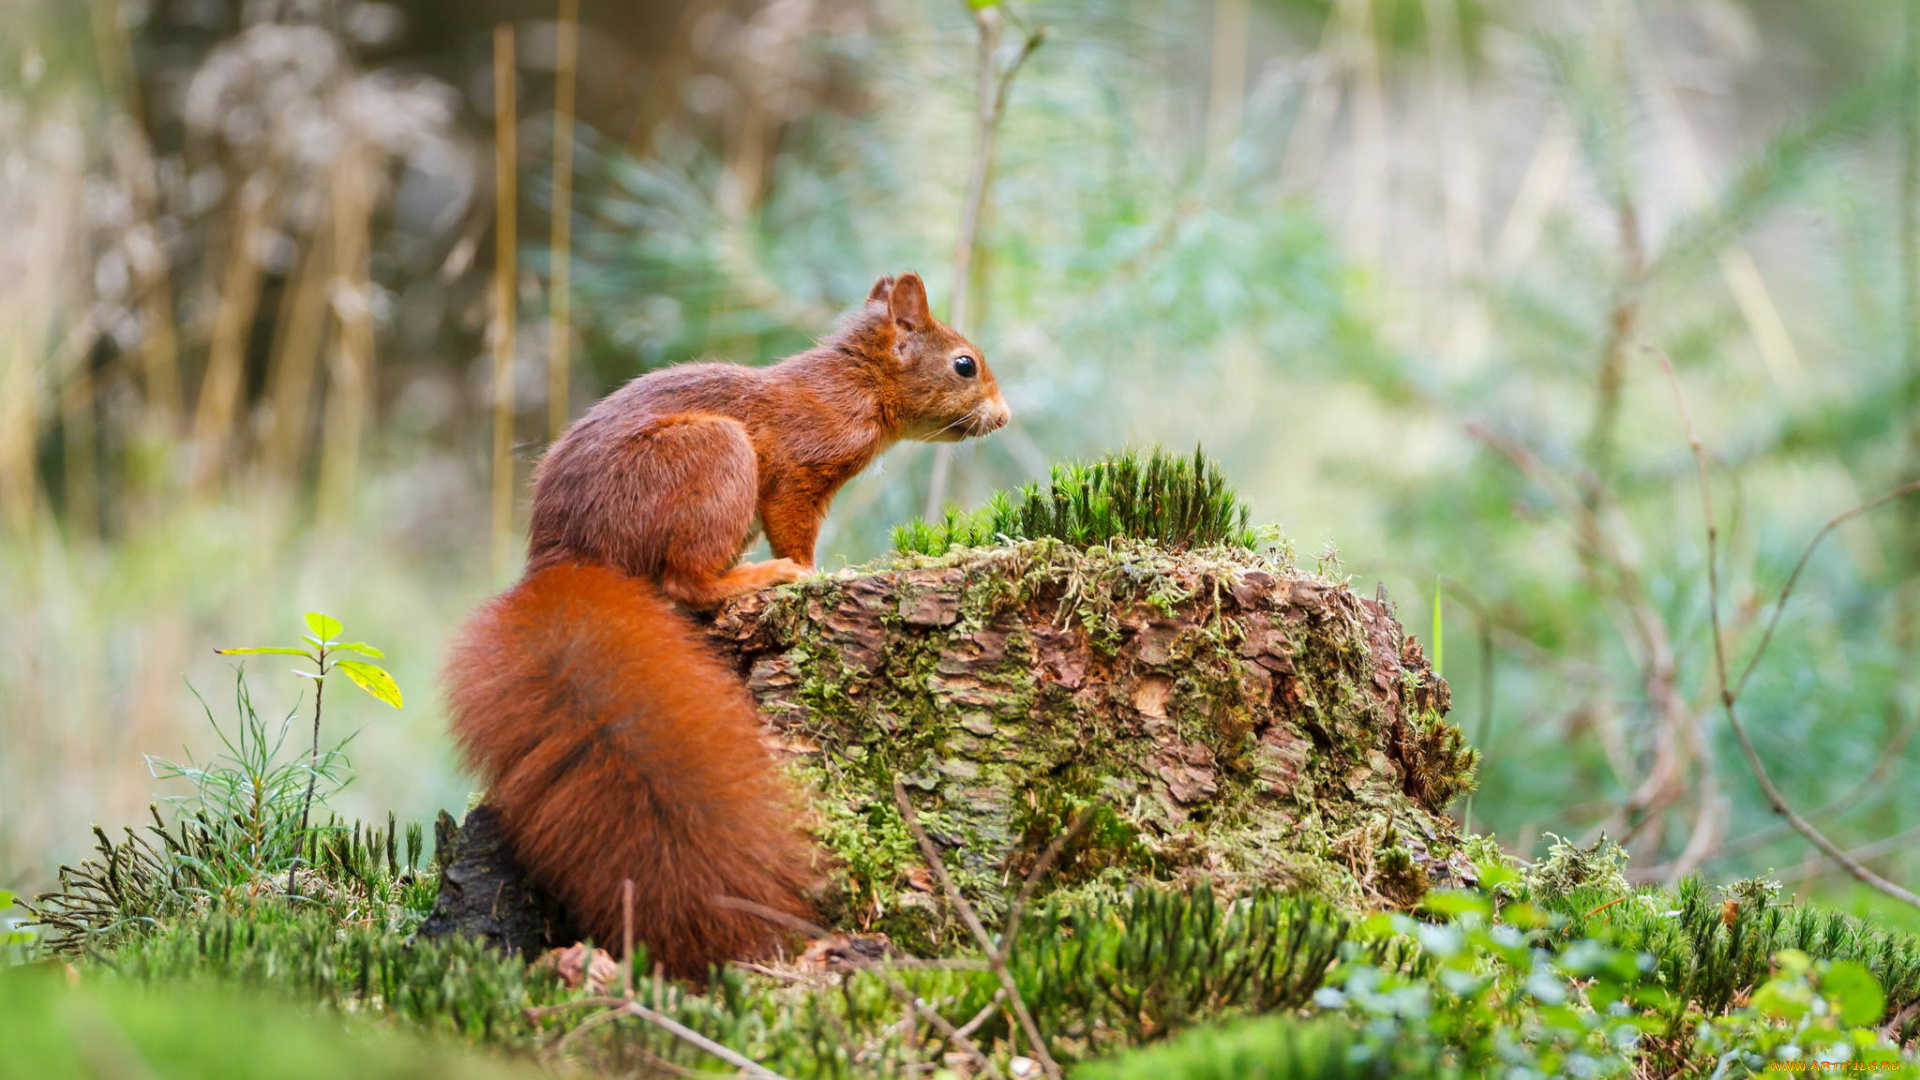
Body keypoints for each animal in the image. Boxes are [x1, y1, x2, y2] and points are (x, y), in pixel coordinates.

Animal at [443, 272, 1008, 978]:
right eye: (965, 365)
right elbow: (795, 527)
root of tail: (565, 563)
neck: (854, 382)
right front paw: (810, 569)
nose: (1005, 416)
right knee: (686, 582)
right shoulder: (799, 470)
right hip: (713, 458)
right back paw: (762, 576)